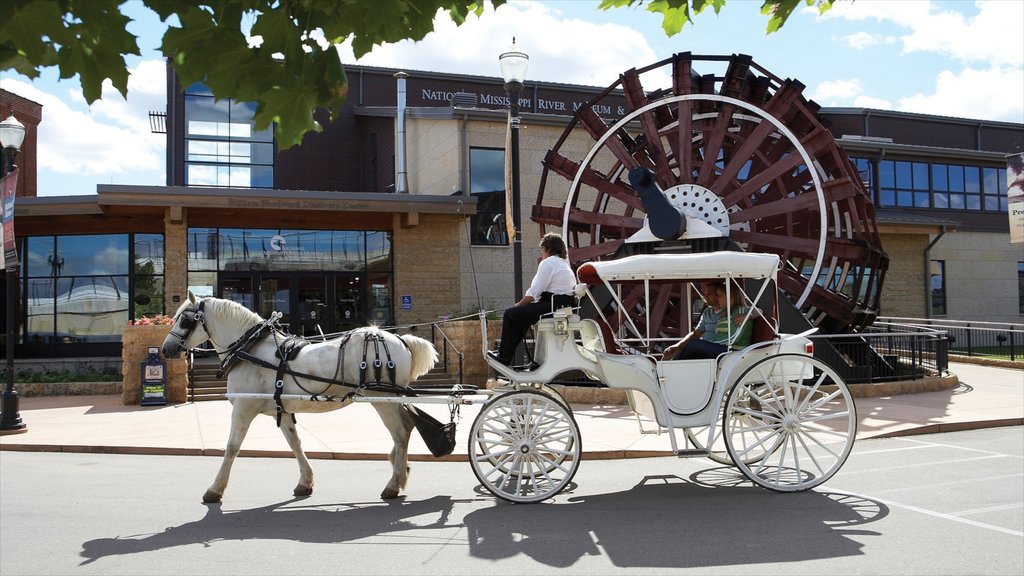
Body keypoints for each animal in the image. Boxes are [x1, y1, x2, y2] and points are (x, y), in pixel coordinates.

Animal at [159, 289, 436, 500]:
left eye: (184, 321)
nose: (165, 349)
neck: (250, 349)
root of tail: (401, 340)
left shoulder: (243, 408)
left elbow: (232, 447)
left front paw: (215, 490)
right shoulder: (279, 409)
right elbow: (295, 442)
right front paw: (305, 481)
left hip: (382, 399)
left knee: (401, 432)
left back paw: (394, 483)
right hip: (390, 399)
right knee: (407, 427)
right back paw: (399, 470)